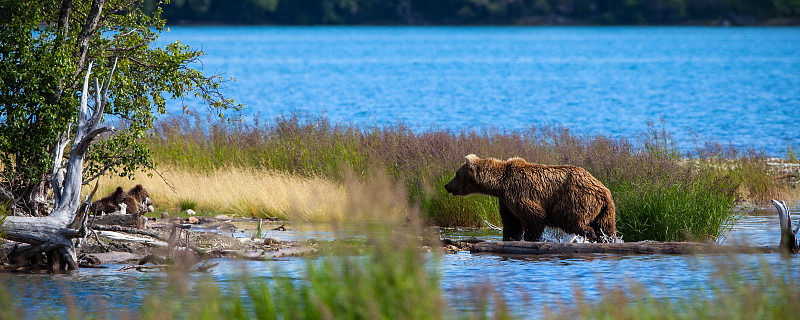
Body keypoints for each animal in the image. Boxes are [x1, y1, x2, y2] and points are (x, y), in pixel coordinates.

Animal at [446, 155, 616, 242]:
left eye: (456, 173)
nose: (447, 185)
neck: (499, 185)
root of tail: (604, 190)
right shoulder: (505, 202)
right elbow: (512, 224)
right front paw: (510, 238)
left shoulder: (519, 192)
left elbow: (534, 217)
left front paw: (530, 237)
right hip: (606, 210)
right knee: (606, 227)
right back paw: (608, 239)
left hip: (576, 198)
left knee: (572, 220)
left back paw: (591, 236)